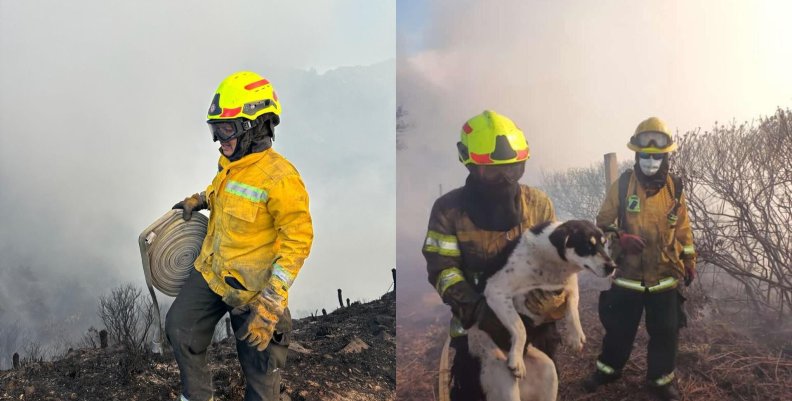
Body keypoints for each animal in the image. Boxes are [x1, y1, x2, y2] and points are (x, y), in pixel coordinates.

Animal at [468, 220, 616, 400]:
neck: (551, 264)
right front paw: (516, 359)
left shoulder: (570, 286)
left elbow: (572, 309)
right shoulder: (496, 291)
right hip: (503, 381)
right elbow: (520, 327)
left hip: (549, 372)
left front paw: (575, 336)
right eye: (588, 245)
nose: (612, 267)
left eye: (604, 243)